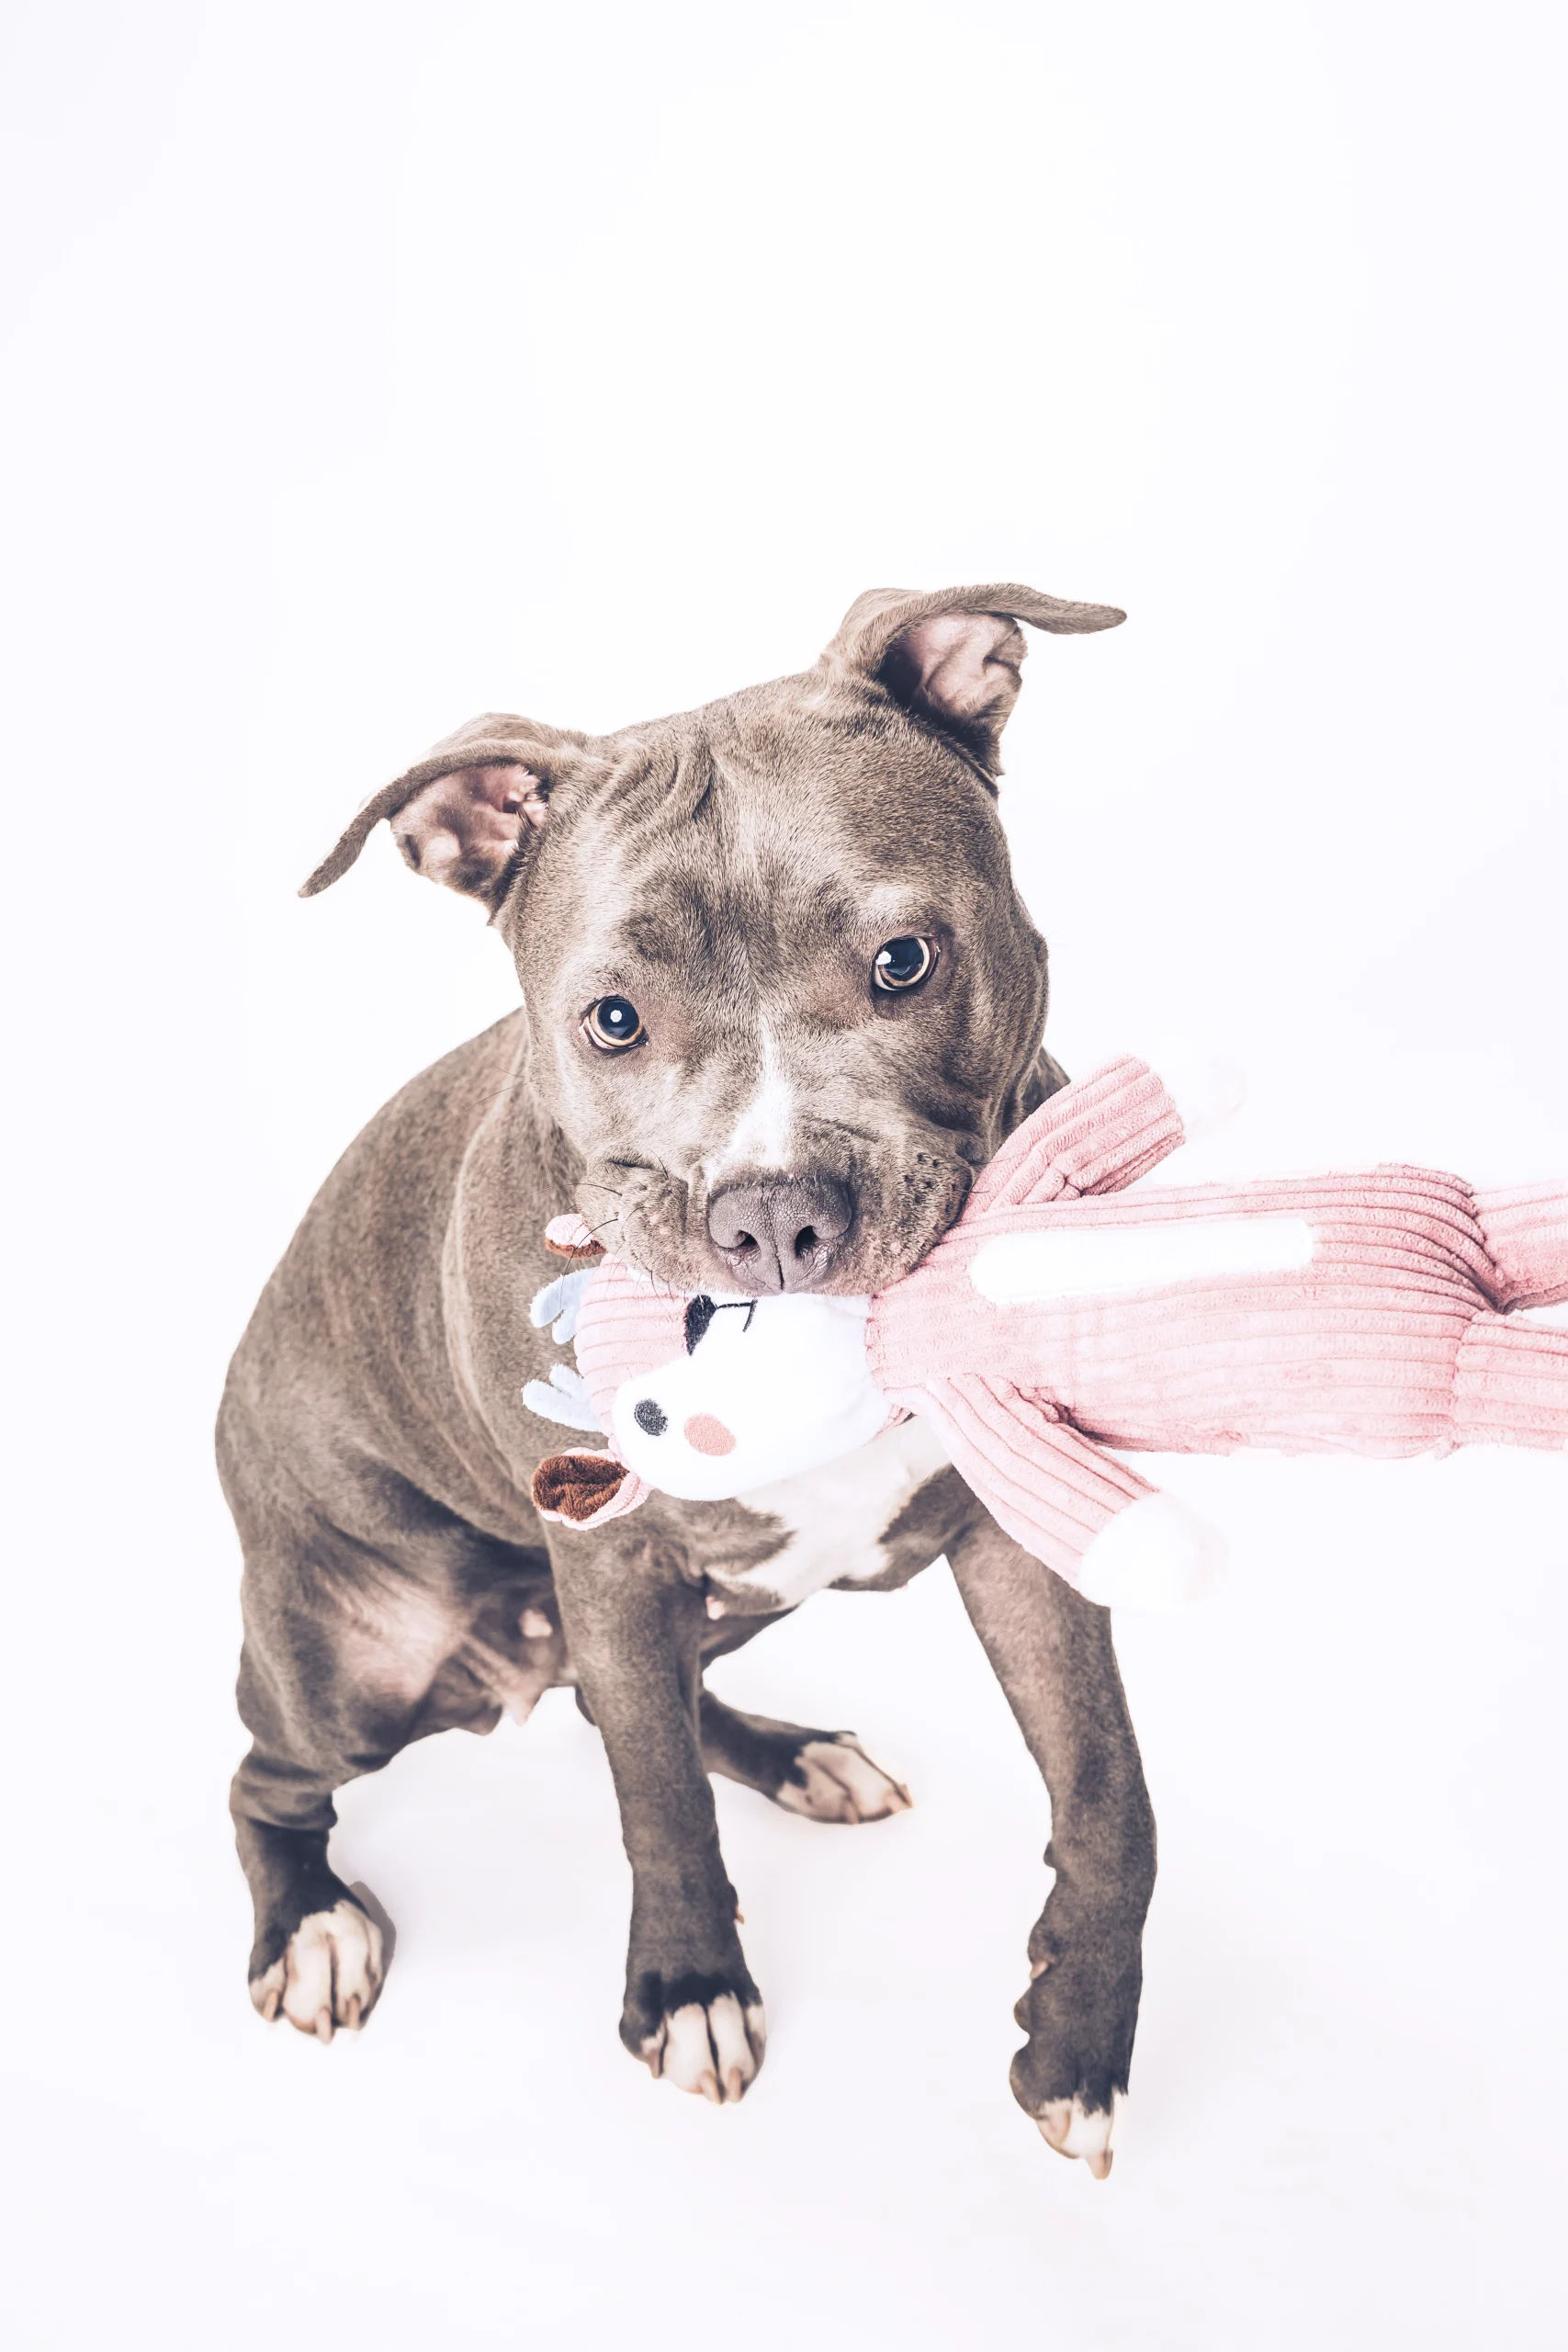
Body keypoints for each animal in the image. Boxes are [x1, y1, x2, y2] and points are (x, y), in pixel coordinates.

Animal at [218, 582, 1151, 2175]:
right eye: (612, 1018)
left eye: (904, 961)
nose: (774, 1211)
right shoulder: (610, 1561)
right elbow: (653, 1802)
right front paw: (689, 1990)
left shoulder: (1015, 1527)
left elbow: (1110, 1797)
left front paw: (1076, 2040)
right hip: (359, 1664)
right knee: (272, 1780)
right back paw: (316, 1928)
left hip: (727, 1600)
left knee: (625, 1702)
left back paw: (799, 1759)